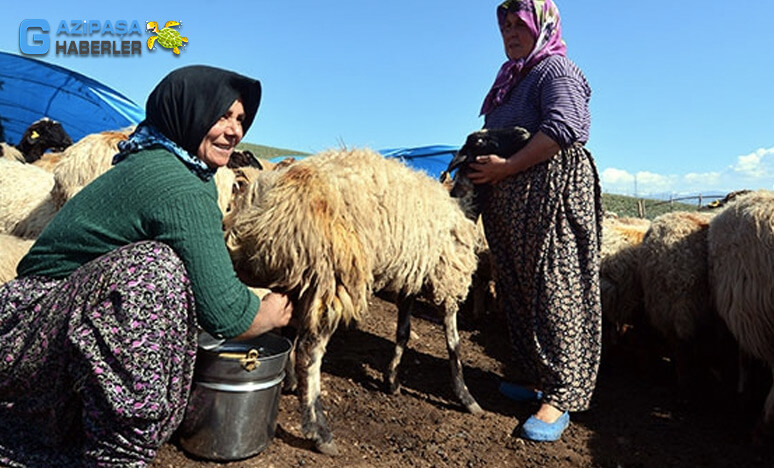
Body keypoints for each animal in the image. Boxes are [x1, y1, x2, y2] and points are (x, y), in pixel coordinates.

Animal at [224, 147, 488, 458]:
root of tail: (264, 205)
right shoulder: (447, 275)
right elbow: (453, 343)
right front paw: (466, 397)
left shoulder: (410, 274)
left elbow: (403, 331)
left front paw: (392, 380)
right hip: (332, 277)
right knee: (308, 352)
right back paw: (320, 431)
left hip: (292, 277)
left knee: (287, 332)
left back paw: (290, 383)